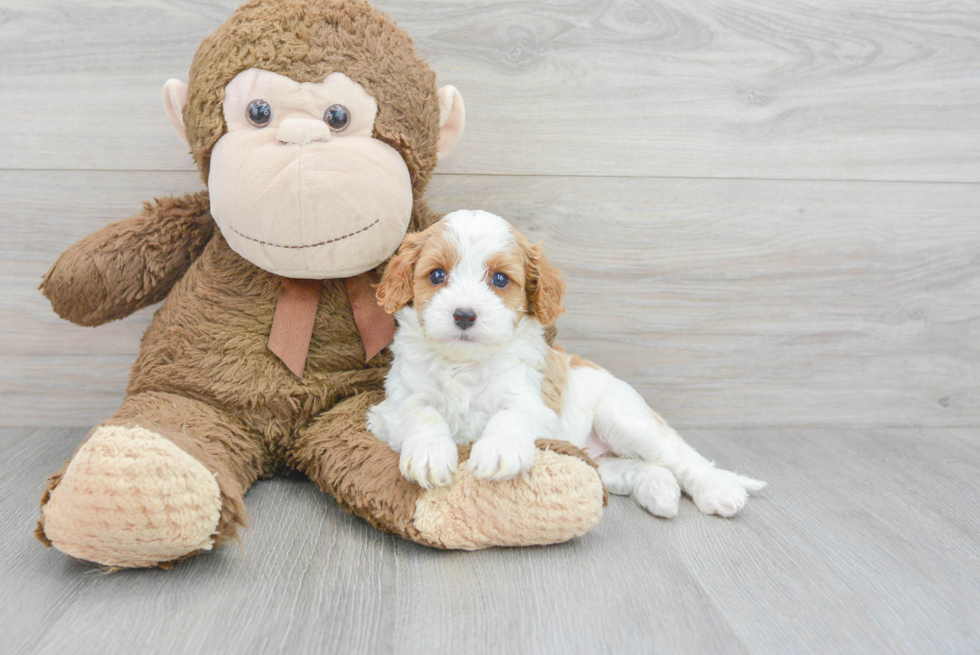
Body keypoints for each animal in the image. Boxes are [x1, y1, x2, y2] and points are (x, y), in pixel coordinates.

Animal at [368, 210, 764, 516]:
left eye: (500, 279)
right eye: (437, 275)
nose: (464, 315)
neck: (465, 363)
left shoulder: (534, 405)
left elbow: (509, 416)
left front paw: (498, 451)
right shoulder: (393, 408)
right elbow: (422, 413)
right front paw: (430, 454)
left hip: (623, 419)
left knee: (681, 456)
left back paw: (718, 490)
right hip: (600, 461)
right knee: (641, 467)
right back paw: (660, 491)